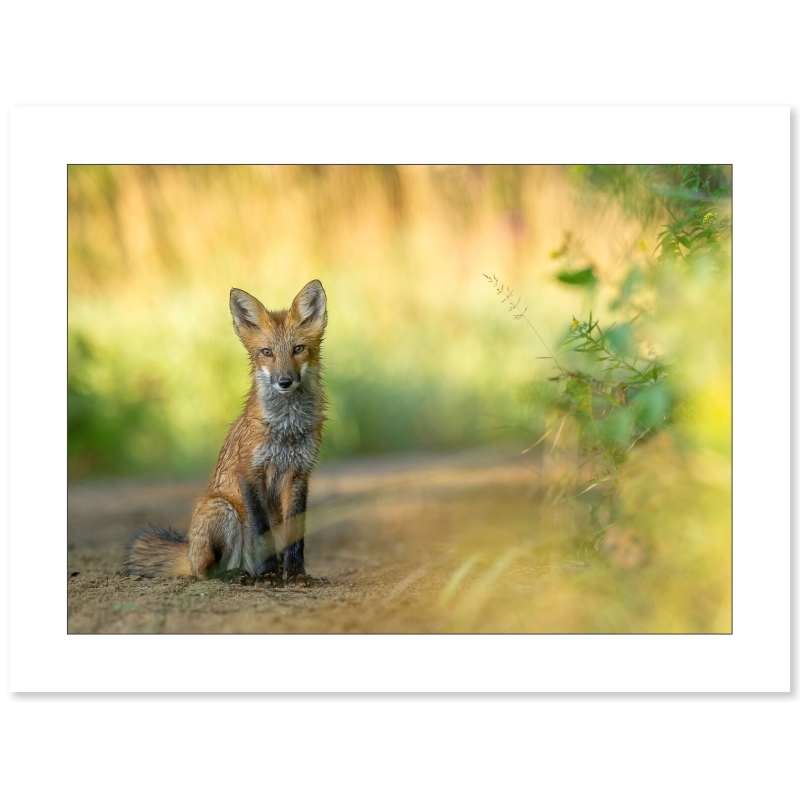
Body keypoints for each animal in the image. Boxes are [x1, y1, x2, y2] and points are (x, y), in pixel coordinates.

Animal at [125, 279, 329, 587]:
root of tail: (188, 553)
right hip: (223, 510)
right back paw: (241, 575)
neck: (286, 430)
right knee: (206, 573)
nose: (284, 381)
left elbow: (296, 537)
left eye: (298, 349)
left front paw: (296, 576)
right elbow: (261, 531)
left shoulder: (300, 473)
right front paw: (269, 576)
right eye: (267, 352)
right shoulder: (249, 472)